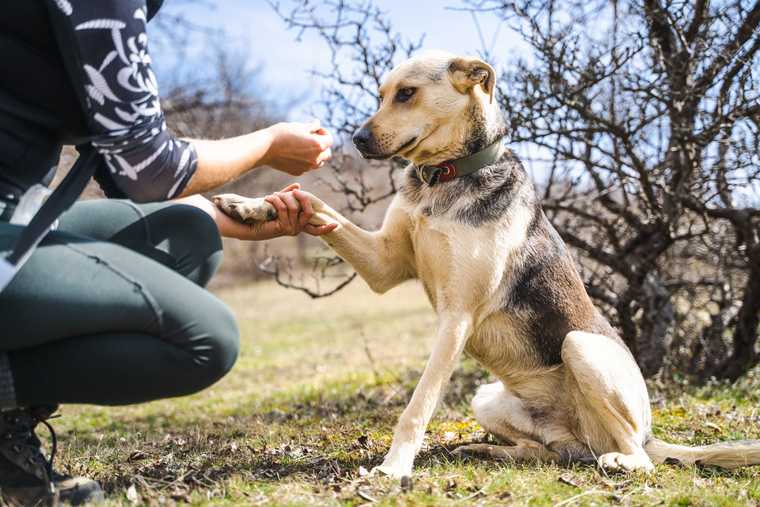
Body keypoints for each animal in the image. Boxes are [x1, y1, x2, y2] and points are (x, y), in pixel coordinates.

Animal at [212, 49, 760, 478]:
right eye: (382, 93)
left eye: (407, 94)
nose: (358, 141)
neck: (444, 177)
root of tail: (646, 435)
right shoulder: (384, 263)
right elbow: (315, 207)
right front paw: (253, 206)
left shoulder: (455, 318)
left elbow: (418, 405)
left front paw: (394, 467)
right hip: (487, 398)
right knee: (555, 453)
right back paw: (488, 450)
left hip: (580, 347)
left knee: (634, 458)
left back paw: (619, 461)